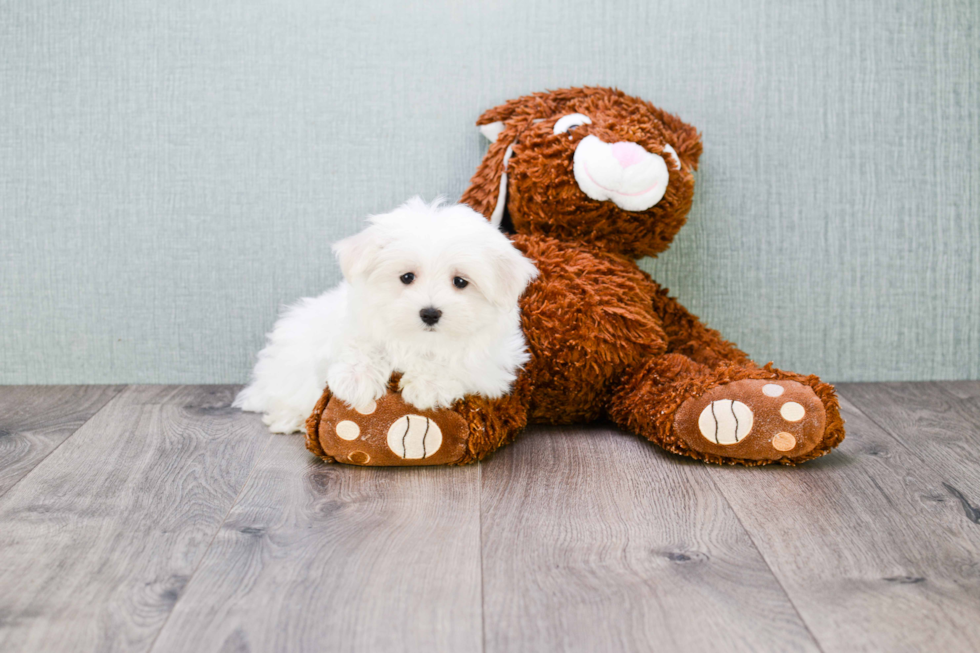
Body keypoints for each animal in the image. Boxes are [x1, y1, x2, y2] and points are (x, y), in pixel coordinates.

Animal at [234, 197, 540, 432]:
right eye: (407, 277)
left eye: (460, 282)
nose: (430, 313)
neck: (417, 340)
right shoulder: (354, 324)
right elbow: (361, 343)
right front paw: (356, 378)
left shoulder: (492, 364)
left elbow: (455, 361)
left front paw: (428, 384)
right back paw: (290, 418)